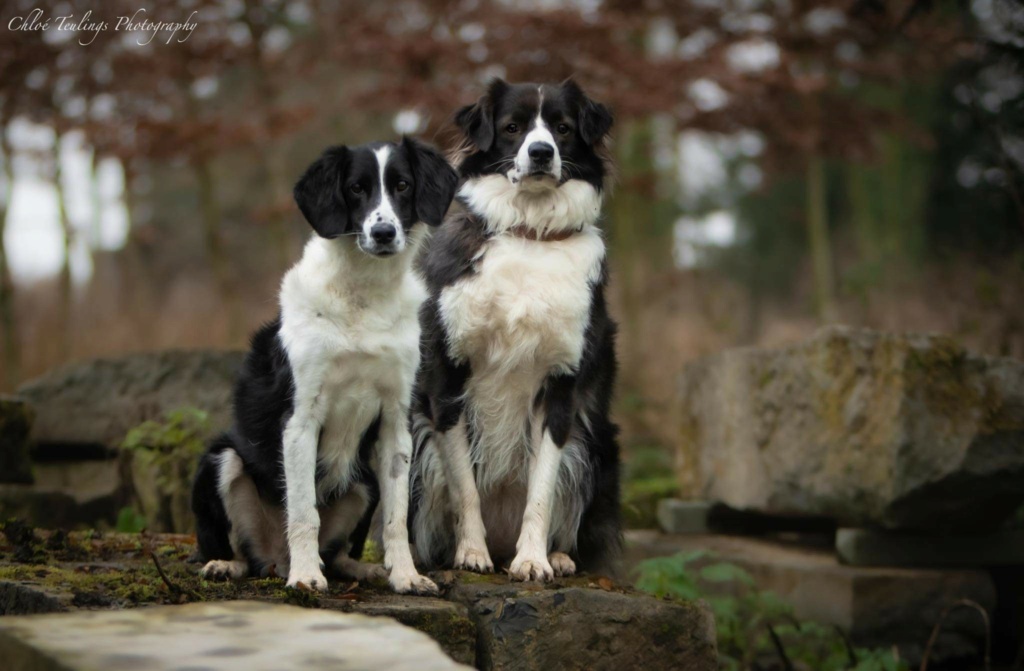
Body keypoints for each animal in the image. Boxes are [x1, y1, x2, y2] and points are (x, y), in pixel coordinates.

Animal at [191, 138, 460, 594]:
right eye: (356, 188)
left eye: (402, 185)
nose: (383, 233)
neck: (362, 295)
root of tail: (273, 560)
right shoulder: (300, 422)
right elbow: (303, 513)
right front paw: (304, 576)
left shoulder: (395, 423)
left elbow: (396, 520)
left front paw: (405, 576)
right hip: (220, 459)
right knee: (239, 551)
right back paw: (232, 565)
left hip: (363, 480)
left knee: (336, 555)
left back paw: (363, 569)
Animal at [409, 79, 618, 581]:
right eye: (512, 128)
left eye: (562, 128)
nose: (541, 152)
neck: (530, 231)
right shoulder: (447, 380)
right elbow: (464, 485)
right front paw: (471, 552)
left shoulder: (561, 387)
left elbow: (540, 490)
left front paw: (533, 560)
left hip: (596, 443)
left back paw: (558, 556)